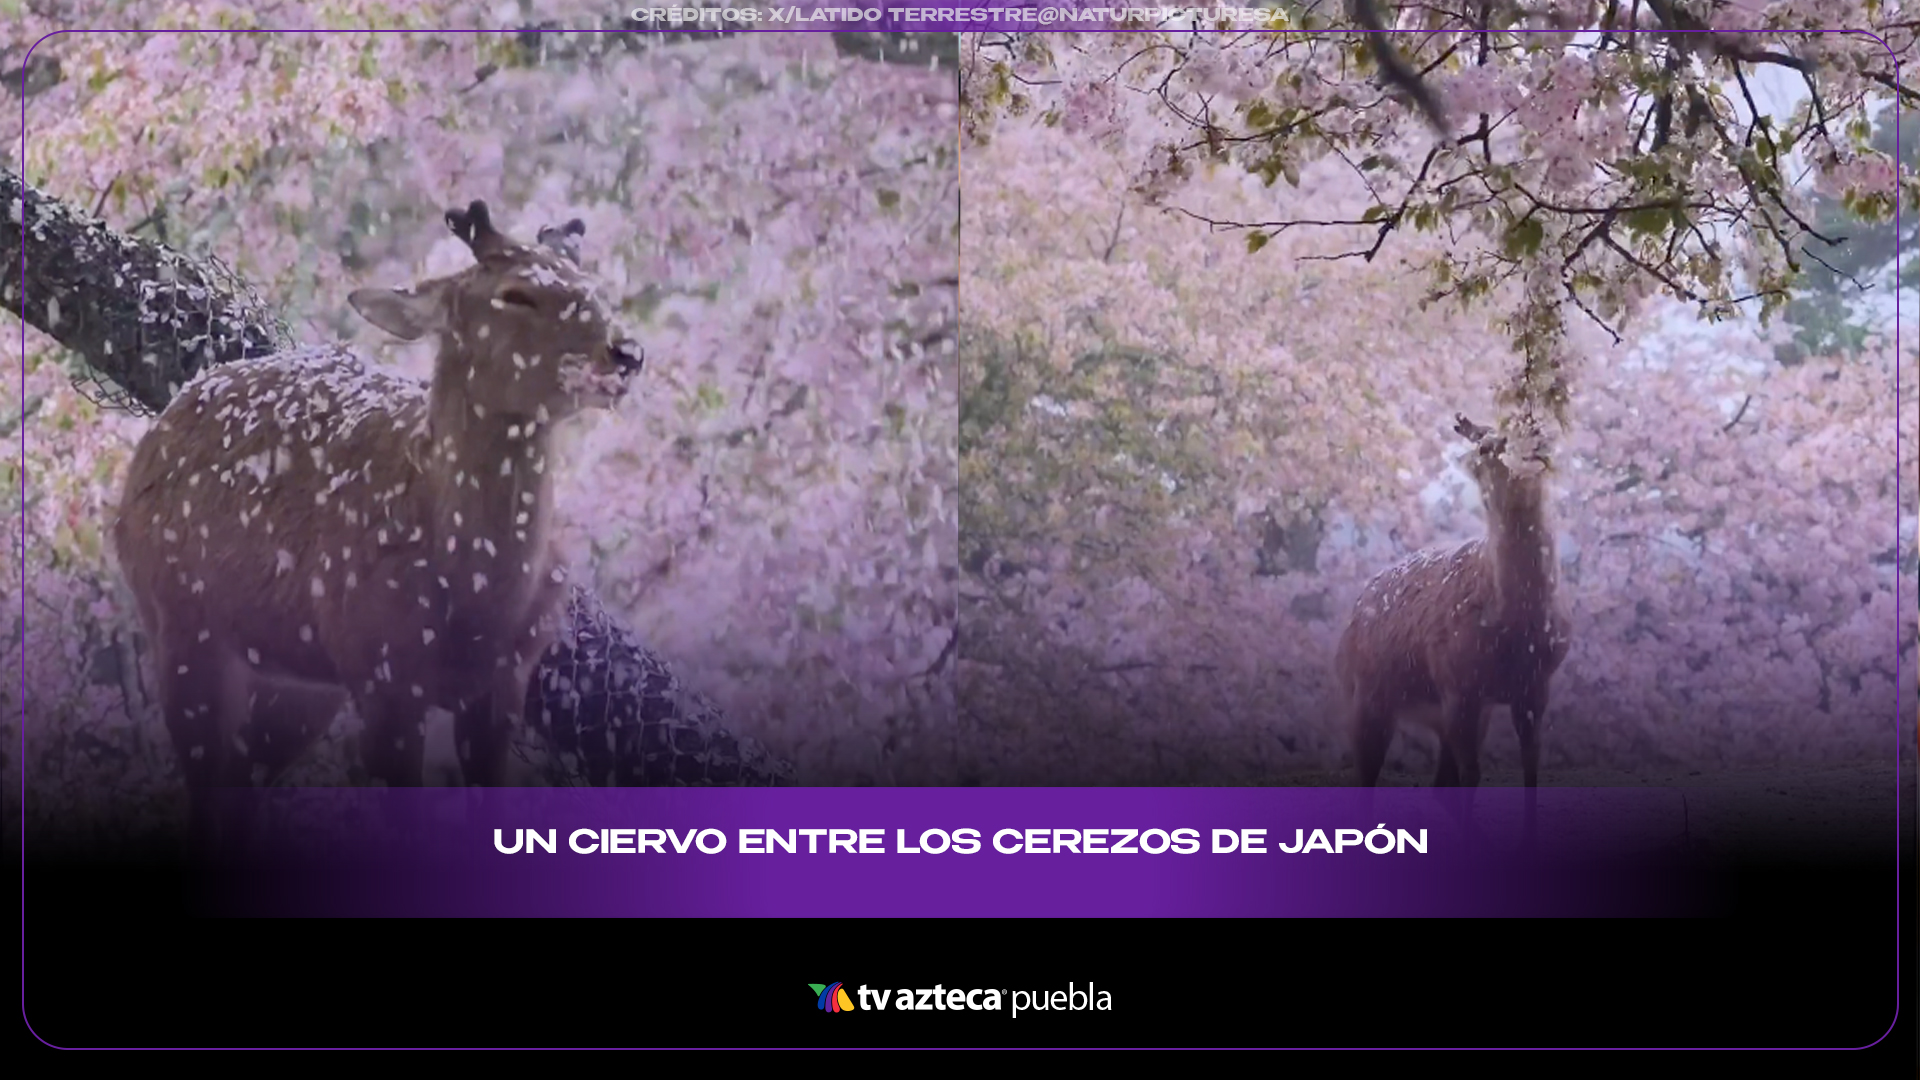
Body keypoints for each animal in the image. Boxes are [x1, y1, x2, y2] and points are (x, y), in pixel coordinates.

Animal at [112, 200, 644, 854]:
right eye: (515, 295)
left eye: (591, 285)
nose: (625, 352)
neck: (477, 602)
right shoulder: (385, 672)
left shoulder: (504, 684)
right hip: (180, 620)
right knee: (206, 783)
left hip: (302, 681)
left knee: (241, 777)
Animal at [1334, 414, 1571, 843]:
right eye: (1487, 447)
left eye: (1540, 432)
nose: (1532, 450)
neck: (1516, 631)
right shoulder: (1457, 682)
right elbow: (1472, 775)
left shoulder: (1533, 686)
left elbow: (1531, 767)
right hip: (1366, 694)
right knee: (1364, 779)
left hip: (1448, 712)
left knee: (1438, 785)